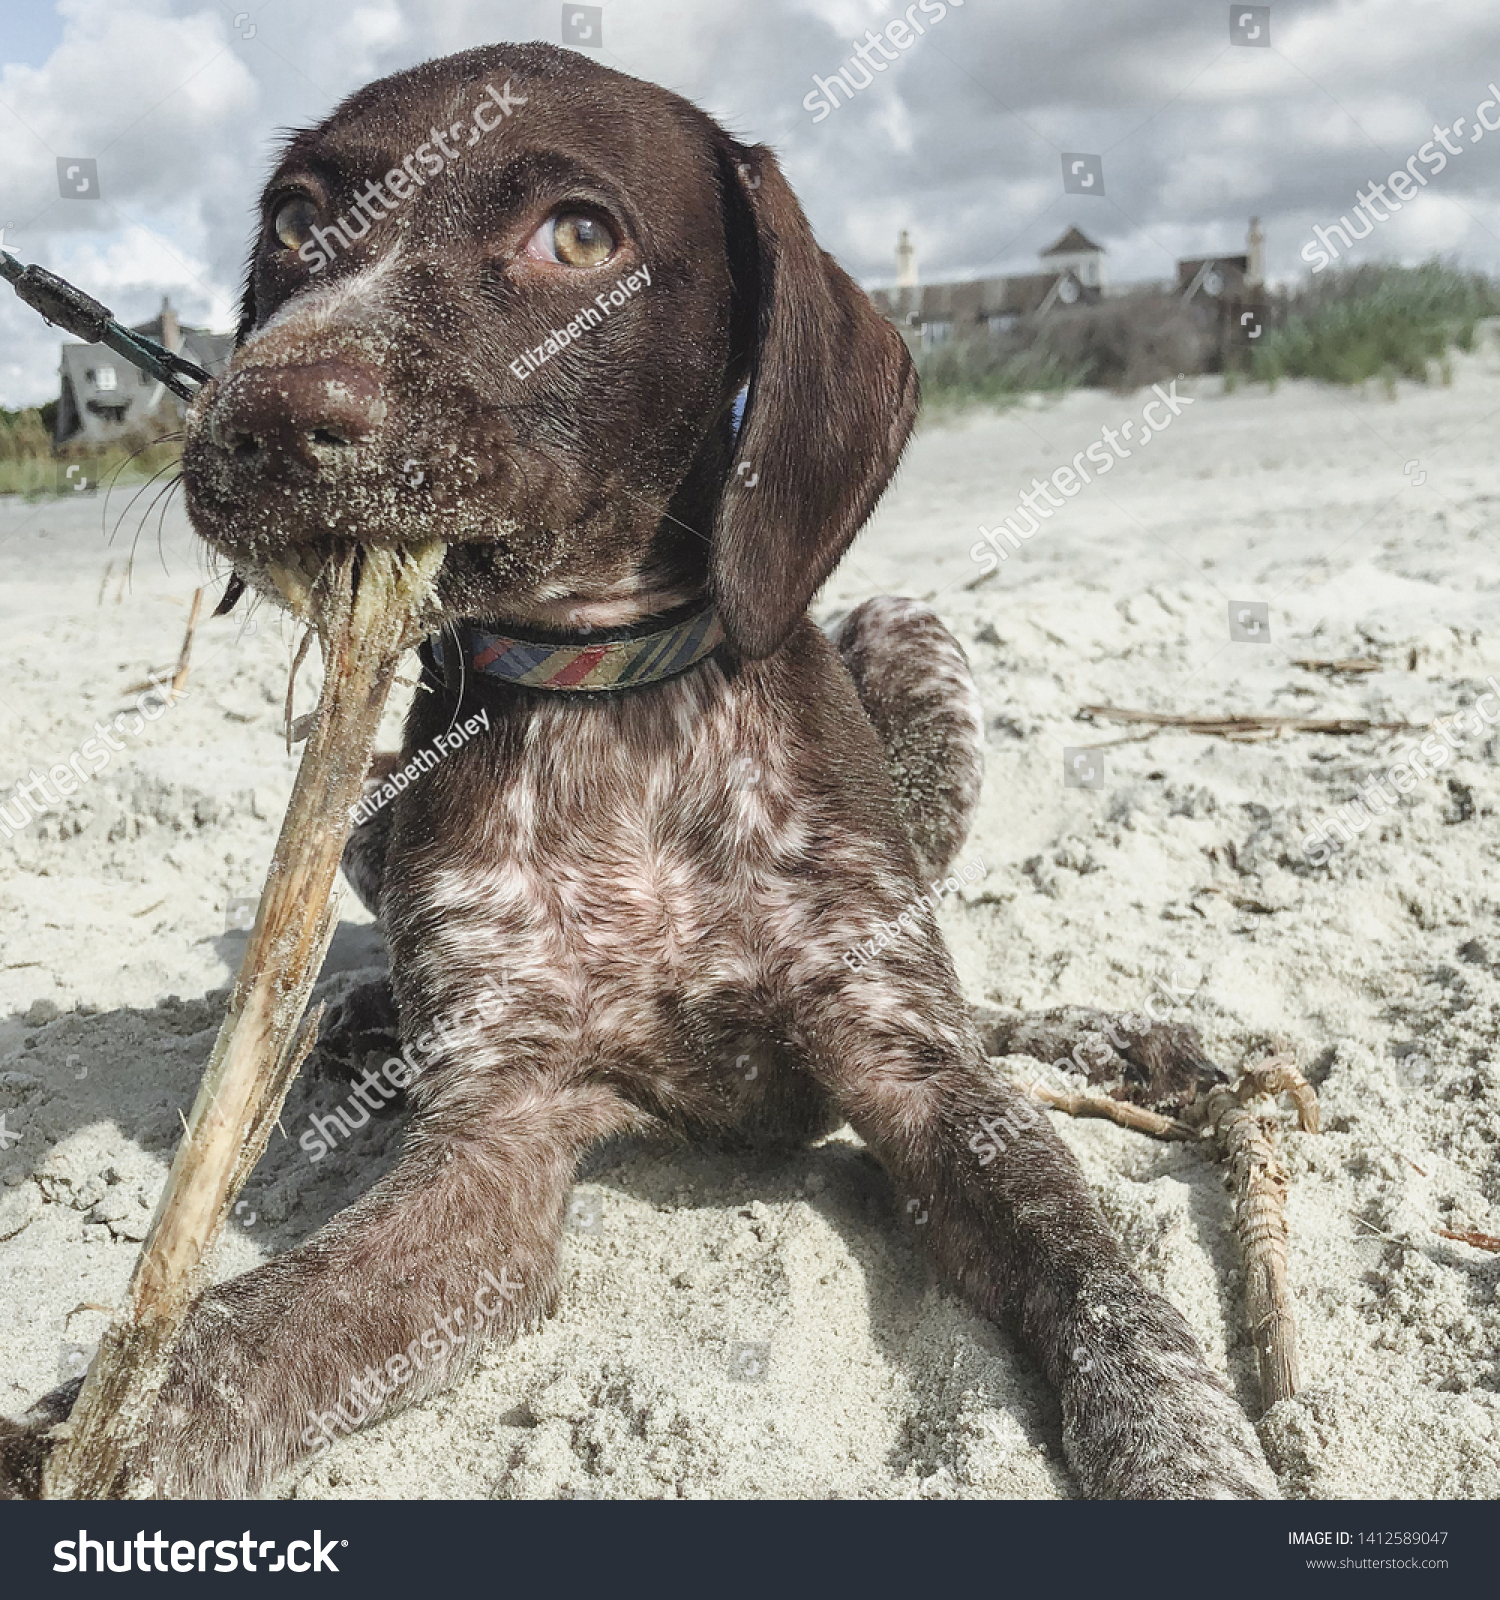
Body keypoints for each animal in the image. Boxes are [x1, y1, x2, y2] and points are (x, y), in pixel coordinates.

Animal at [0, 43, 1272, 1504]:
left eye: (579, 237)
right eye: (294, 224)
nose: (254, 413)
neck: (612, 707)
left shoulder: (911, 1067)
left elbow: (1086, 1255)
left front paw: (1184, 1446)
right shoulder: (492, 1144)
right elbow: (229, 1344)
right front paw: (77, 1442)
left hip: (912, 640)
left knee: (983, 1002)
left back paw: (1134, 1044)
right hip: (372, 805)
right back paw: (365, 1015)